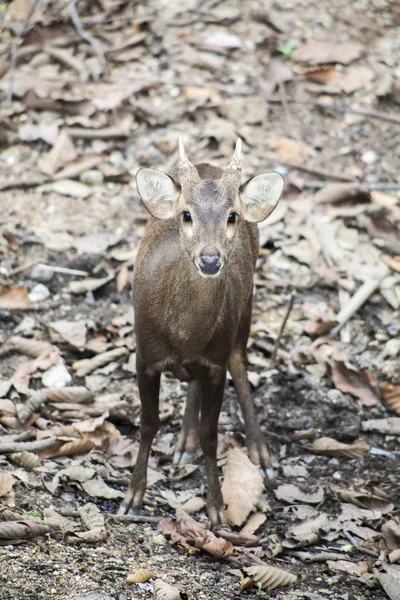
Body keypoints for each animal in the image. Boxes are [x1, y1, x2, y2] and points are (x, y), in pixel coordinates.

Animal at [122, 141, 284, 528]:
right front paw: (133, 497)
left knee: (240, 361)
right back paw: (184, 441)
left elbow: (212, 435)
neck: (183, 335)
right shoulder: (144, 356)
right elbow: (148, 424)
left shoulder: (215, 365)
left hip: (247, 303)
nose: (210, 260)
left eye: (232, 216)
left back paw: (260, 452)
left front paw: (215, 507)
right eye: (185, 214)